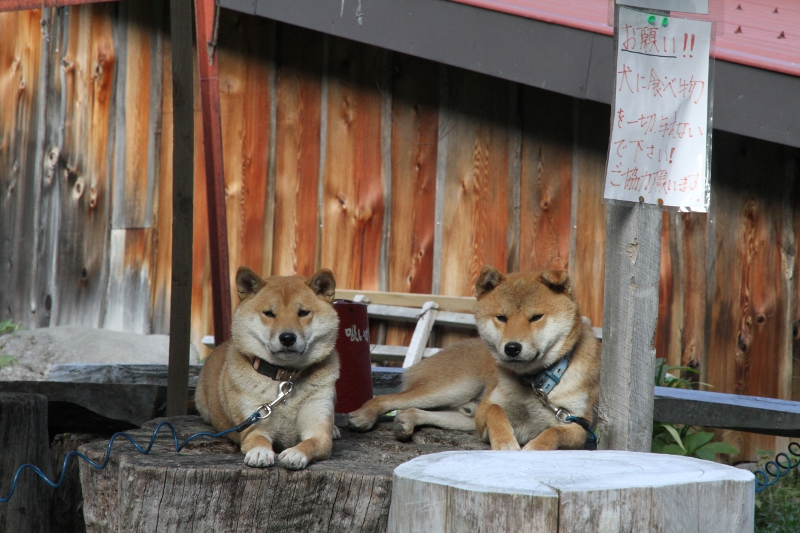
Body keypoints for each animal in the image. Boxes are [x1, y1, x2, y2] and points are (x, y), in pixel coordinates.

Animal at [198, 268, 342, 468]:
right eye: (269, 313)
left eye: (303, 312)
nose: (287, 337)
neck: (285, 377)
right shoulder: (253, 424)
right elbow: (259, 440)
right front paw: (260, 452)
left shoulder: (319, 429)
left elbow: (310, 443)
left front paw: (295, 453)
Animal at [346, 266, 596, 448]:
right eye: (501, 318)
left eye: (536, 317)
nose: (512, 348)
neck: (534, 382)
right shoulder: (485, 413)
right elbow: (496, 412)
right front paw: (505, 444)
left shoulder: (578, 426)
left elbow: (552, 433)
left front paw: (532, 449)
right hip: (454, 387)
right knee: (386, 399)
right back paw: (364, 416)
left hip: (463, 413)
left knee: (419, 410)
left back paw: (406, 420)